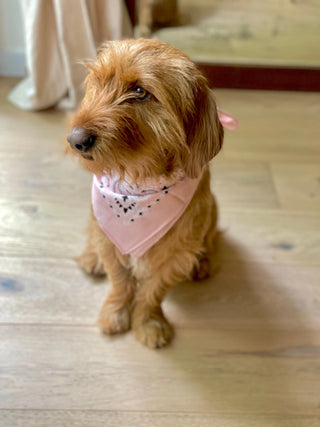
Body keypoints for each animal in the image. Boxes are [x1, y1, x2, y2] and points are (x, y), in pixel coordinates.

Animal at [67, 38, 228, 350]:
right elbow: (120, 280)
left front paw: (147, 321)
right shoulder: (110, 238)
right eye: (97, 82)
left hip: (213, 209)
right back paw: (91, 257)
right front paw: (116, 312)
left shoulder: (174, 256)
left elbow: (153, 290)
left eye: (140, 92)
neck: (137, 182)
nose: (75, 140)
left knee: (209, 237)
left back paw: (202, 261)